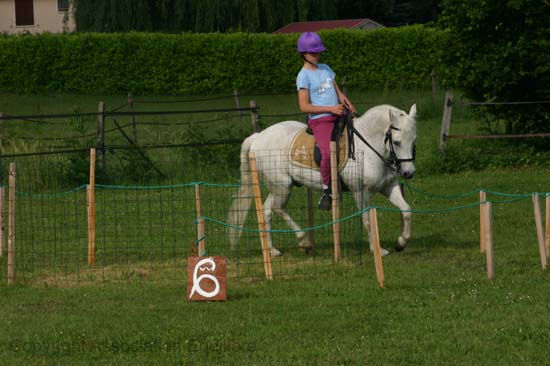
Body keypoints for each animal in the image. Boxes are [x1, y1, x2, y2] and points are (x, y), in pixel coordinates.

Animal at [229, 104, 418, 256]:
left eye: (414, 140)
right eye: (397, 142)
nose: (408, 172)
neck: (368, 147)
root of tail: (258, 136)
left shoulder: (388, 186)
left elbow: (407, 210)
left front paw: (401, 243)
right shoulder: (360, 191)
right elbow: (367, 219)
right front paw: (377, 250)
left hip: (278, 187)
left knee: (268, 210)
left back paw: (273, 251)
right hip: (282, 186)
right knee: (277, 208)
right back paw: (304, 241)